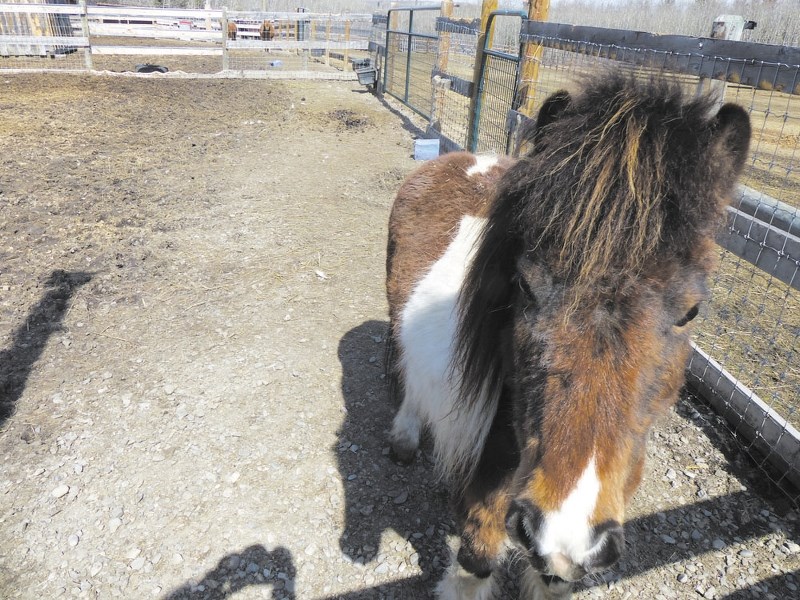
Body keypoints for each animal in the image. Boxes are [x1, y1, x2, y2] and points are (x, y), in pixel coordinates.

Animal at [386, 72, 752, 596]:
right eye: (523, 285)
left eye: (691, 312)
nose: (565, 530)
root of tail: (466, 158)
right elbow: (475, 562)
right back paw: (404, 436)